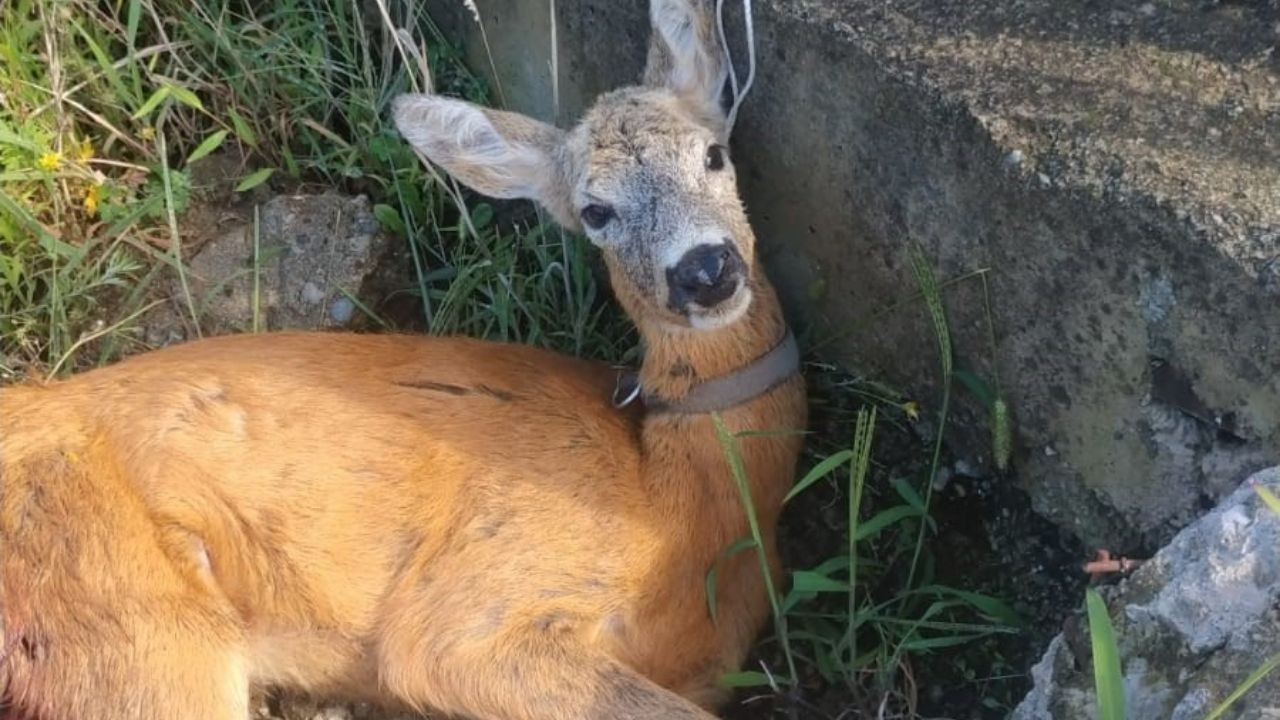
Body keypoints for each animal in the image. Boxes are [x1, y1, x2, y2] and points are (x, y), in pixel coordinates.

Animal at [0, 2, 798, 712]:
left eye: (713, 154)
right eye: (594, 212)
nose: (704, 269)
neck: (676, 498)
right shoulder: (466, 618)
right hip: (130, 625)